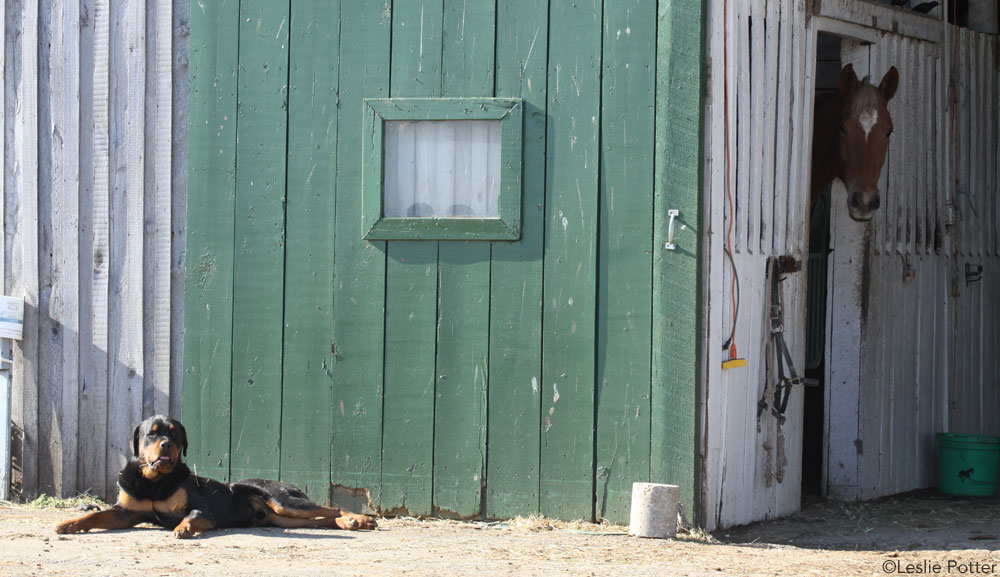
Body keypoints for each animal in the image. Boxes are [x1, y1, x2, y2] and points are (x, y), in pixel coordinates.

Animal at [55, 416, 376, 536]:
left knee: (331, 507)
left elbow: (192, 515)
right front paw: (69, 523)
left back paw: (357, 519)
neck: (154, 482)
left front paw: (183, 528)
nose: (167, 445)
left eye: (175, 433)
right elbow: (95, 515)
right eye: (152, 434)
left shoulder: (202, 509)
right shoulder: (126, 512)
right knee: (322, 518)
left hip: (283, 502)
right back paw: (349, 523)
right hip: (281, 518)